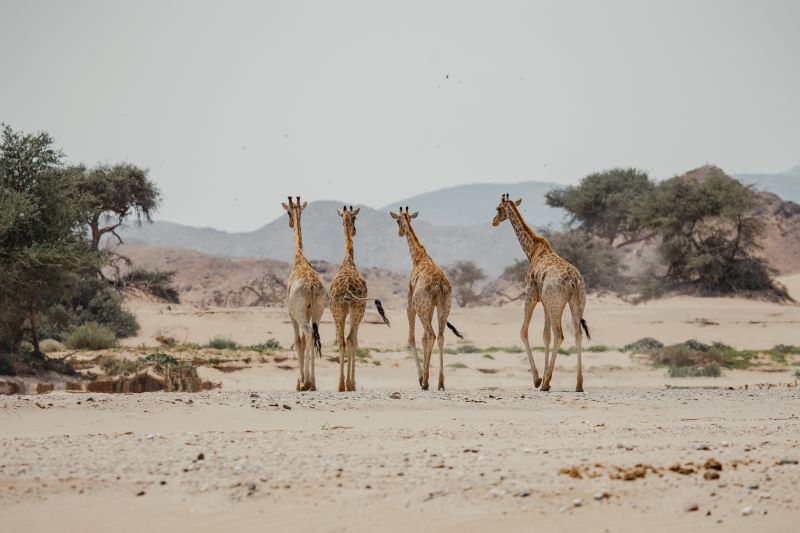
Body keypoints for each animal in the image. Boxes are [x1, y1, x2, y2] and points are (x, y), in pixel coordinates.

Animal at [329, 205, 390, 392]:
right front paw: (352, 383)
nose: (355, 231)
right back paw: (350, 384)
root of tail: (348, 290)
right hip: (358, 310)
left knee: (342, 341)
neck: (349, 261)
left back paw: (341, 385)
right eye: (355, 218)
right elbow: (354, 340)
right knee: (351, 339)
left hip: (338, 311)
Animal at [390, 206, 463, 390]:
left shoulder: (410, 304)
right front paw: (426, 376)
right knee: (440, 336)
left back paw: (425, 381)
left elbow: (412, 338)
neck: (418, 257)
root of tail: (440, 285)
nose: (399, 232)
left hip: (422, 307)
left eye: (397, 220)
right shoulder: (430, 307)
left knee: (431, 335)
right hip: (444, 306)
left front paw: (421, 377)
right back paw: (441, 382)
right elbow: (423, 339)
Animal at [492, 194, 591, 392]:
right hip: (576, 302)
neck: (532, 250)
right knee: (577, 334)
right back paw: (578, 384)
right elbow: (545, 336)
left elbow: (523, 331)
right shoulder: (545, 302)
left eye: (498, 208)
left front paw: (538, 379)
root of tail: (574, 281)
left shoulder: (531, 295)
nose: (494, 221)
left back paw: (545, 383)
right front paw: (545, 377)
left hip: (556, 304)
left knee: (560, 334)